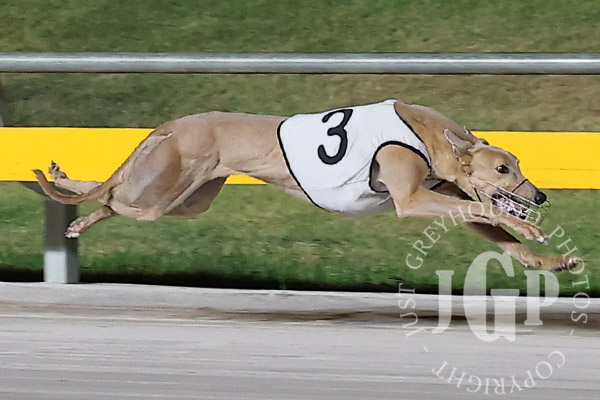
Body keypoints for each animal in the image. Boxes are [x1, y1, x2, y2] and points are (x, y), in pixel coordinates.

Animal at [34, 99, 580, 272]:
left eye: (518, 163)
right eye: (504, 169)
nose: (539, 196)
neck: (426, 132)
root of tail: (173, 123)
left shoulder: (443, 196)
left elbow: (489, 224)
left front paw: (552, 260)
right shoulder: (411, 198)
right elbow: (489, 210)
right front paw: (531, 229)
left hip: (188, 198)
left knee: (115, 194)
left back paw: (66, 187)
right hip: (165, 190)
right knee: (113, 198)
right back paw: (73, 205)